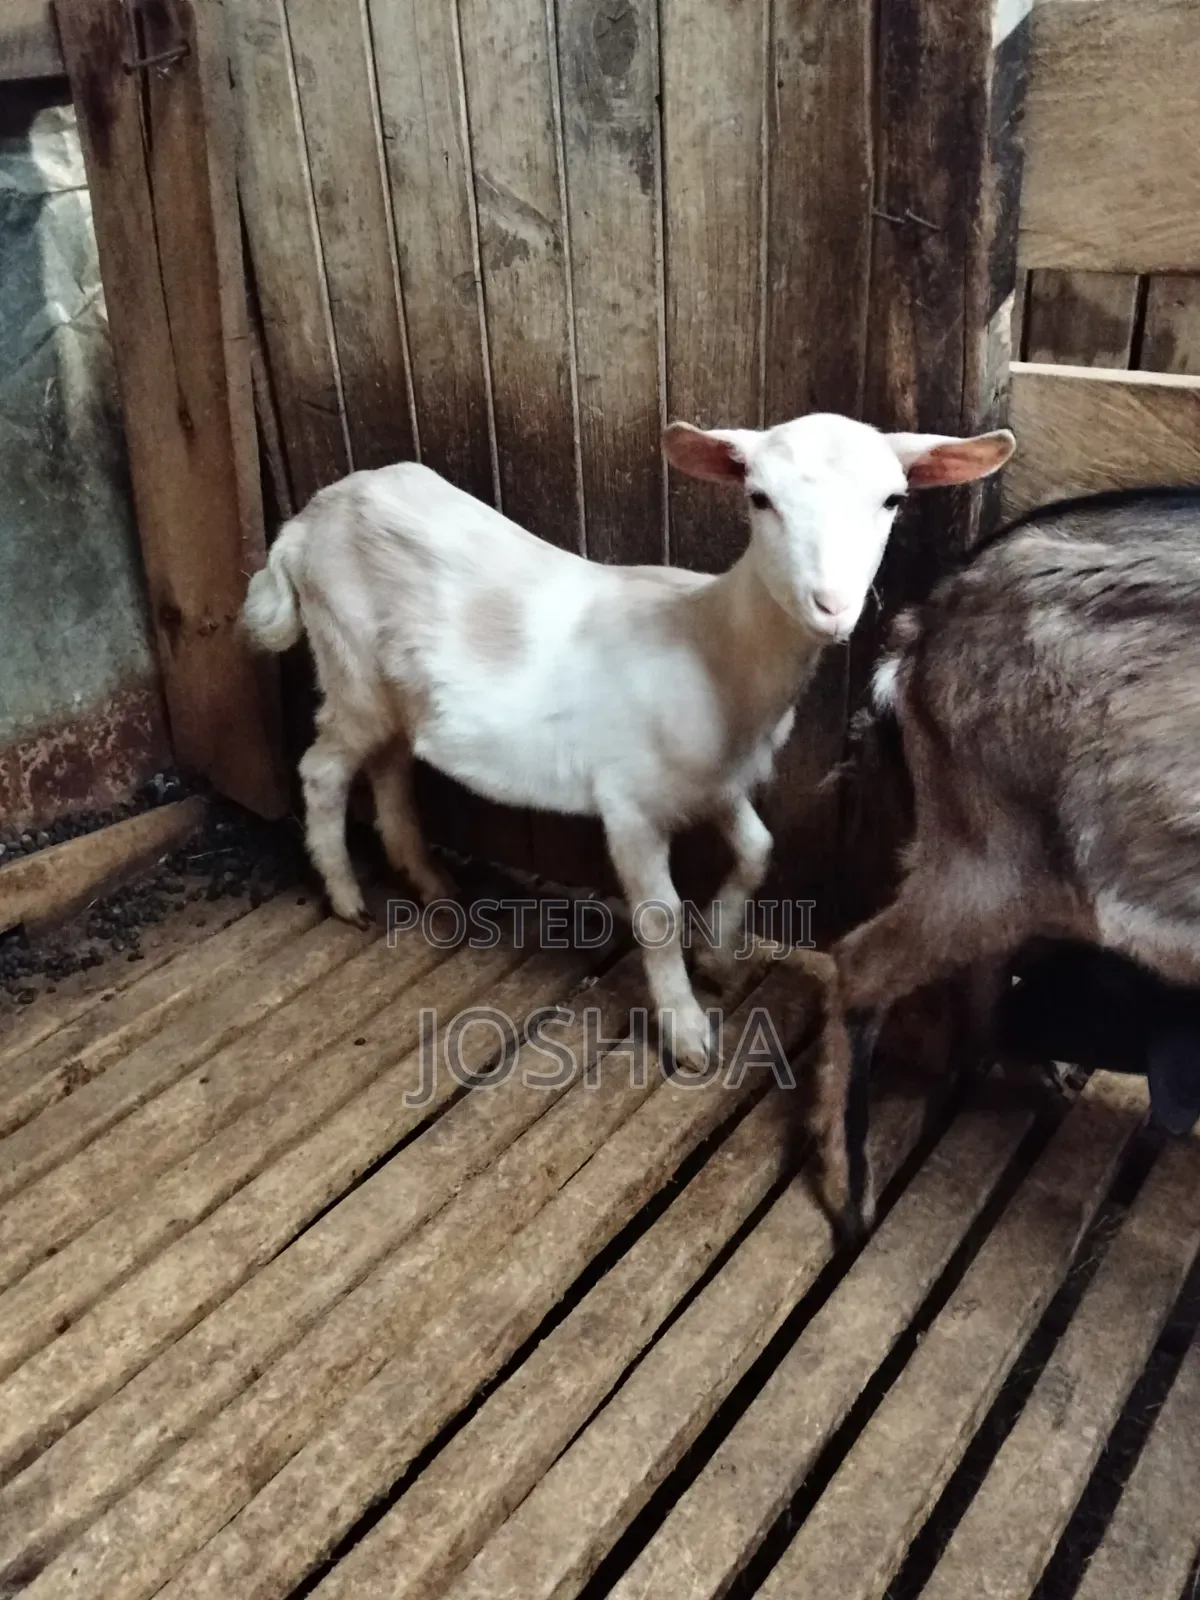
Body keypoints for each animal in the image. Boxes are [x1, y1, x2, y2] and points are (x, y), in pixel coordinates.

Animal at [242, 413, 1013, 1072]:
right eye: (759, 498)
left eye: (892, 499)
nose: (831, 606)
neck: (712, 646)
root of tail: (303, 523)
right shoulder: (630, 800)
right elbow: (660, 913)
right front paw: (687, 1030)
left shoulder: (715, 779)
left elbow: (758, 851)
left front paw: (720, 959)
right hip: (348, 663)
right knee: (323, 770)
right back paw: (348, 897)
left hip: (397, 692)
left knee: (392, 767)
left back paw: (430, 884)